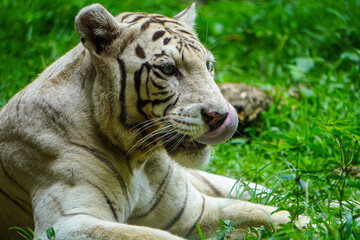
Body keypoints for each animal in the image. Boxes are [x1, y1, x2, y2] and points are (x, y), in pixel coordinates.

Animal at [0, 2, 306, 239]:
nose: (220, 116)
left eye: (208, 65)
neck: (138, 159)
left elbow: (269, 213)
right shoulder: (69, 223)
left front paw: (312, 221)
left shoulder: (193, 211)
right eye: (169, 69)